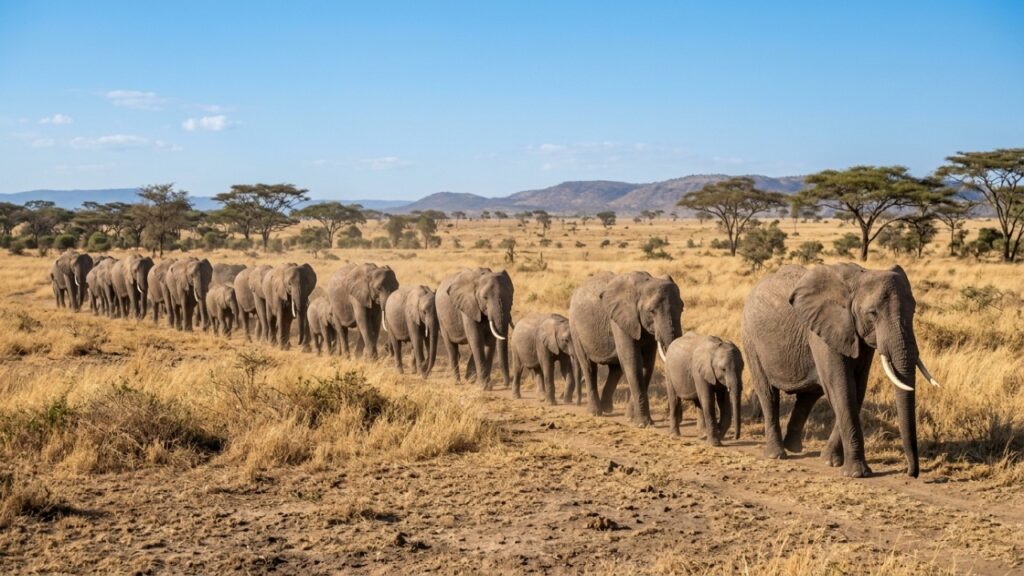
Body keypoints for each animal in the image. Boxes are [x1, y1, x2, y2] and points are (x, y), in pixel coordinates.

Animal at [569, 271, 683, 426]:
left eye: (682, 309)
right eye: (651, 311)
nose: (679, 419)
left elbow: (647, 365)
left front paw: (630, 418)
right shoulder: (620, 320)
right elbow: (633, 363)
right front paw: (643, 424)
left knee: (616, 369)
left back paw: (607, 408)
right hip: (575, 327)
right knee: (589, 366)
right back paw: (595, 412)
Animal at [741, 263, 939, 478]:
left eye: (914, 311)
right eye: (872, 313)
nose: (911, 473)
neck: (859, 278)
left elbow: (857, 390)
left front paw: (830, 461)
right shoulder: (825, 331)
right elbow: (842, 389)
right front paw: (857, 473)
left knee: (808, 396)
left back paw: (793, 447)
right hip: (751, 339)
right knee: (768, 394)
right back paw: (776, 454)